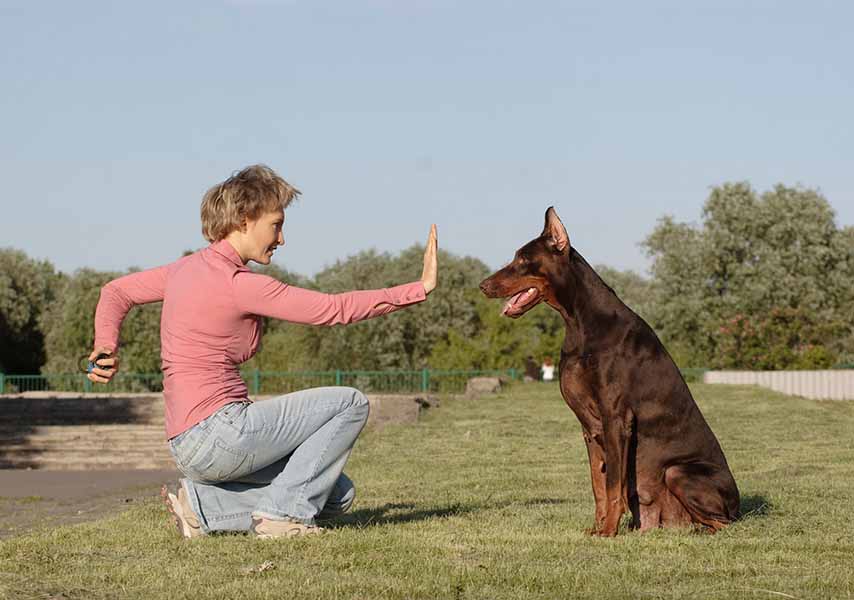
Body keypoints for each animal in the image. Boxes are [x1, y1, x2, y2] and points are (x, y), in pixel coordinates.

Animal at [482, 209, 744, 536]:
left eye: (522, 259)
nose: (482, 285)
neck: (579, 323)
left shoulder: (616, 419)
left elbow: (612, 485)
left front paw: (607, 532)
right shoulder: (590, 429)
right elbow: (598, 486)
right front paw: (596, 529)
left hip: (679, 472)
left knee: (725, 523)